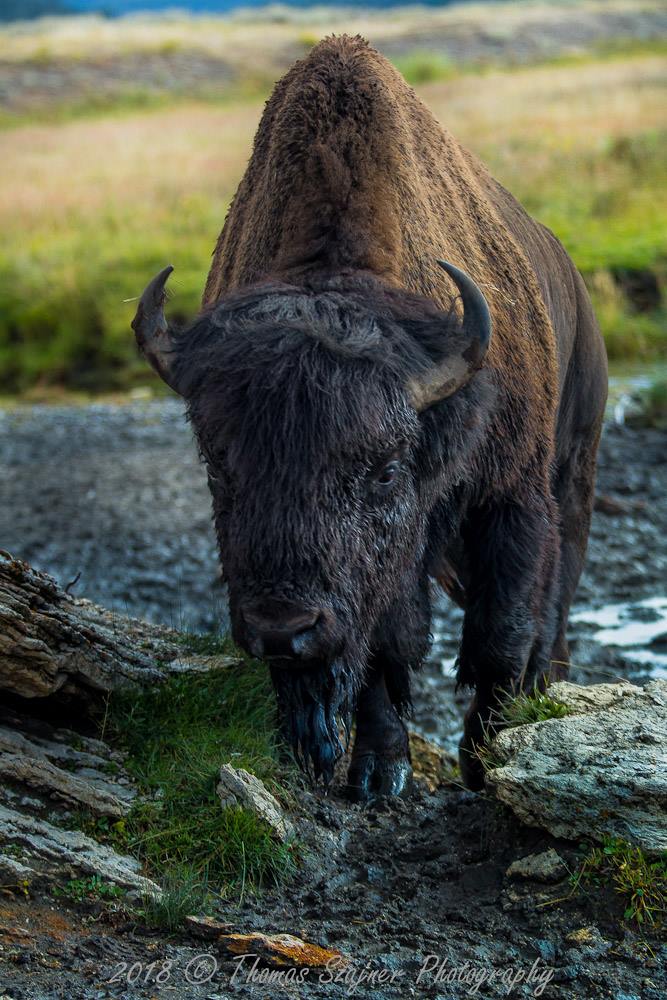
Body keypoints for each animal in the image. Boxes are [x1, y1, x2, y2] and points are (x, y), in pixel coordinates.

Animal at [132, 36, 607, 799]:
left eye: (384, 471)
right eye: (218, 465)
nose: (282, 626)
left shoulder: (509, 498)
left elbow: (500, 635)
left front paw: (483, 763)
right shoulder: (376, 582)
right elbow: (382, 651)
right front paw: (376, 773)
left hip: (573, 472)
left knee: (553, 612)